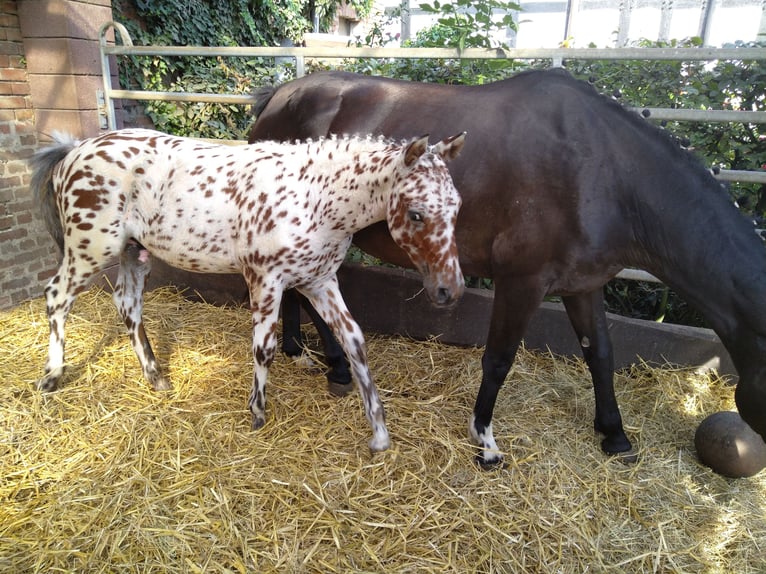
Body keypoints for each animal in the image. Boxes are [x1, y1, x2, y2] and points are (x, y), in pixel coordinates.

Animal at [30, 127, 468, 454]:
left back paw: (156, 377)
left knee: (128, 304)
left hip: (132, 252)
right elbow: (265, 347)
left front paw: (378, 432)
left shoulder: (319, 281)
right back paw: (51, 378)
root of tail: (72, 151)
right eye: (416, 213)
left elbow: (354, 340)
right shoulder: (264, 278)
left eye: (457, 208)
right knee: (57, 296)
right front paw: (257, 412)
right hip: (90, 248)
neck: (314, 198)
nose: (450, 290)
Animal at [249, 70, 766, 470]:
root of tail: (275, 98)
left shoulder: (583, 285)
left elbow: (600, 354)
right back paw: (334, 364)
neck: (603, 170)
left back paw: (307, 353)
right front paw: (484, 441)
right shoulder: (523, 282)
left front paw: (614, 435)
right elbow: (498, 359)